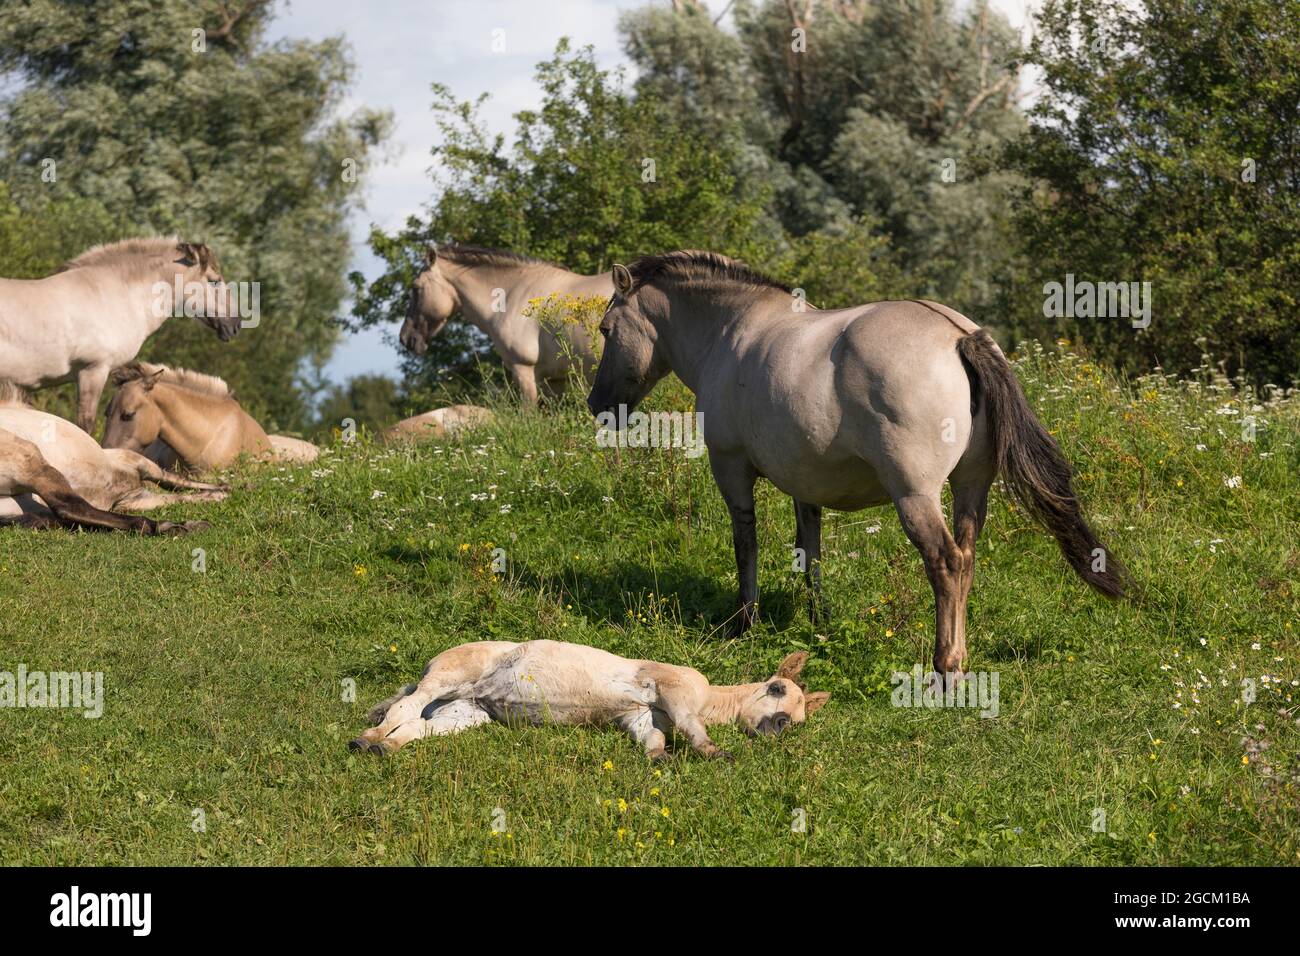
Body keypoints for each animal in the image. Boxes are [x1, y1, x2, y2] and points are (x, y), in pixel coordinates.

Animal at [0, 385, 225, 532]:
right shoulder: (136, 461)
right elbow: (174, 480)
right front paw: (223, 490)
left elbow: (175, 491)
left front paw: (217, 494)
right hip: (33, 464)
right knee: (70, 507)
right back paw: (171, 526)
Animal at [586, 251, 1126, 679]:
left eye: (606, 329)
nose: (597, 405)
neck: (732, 331)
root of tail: (960, 338)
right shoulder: (804, 484)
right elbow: (811, 551)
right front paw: (818, 621)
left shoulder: (731, 469)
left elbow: (746, 545)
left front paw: (745, 622)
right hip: (972, 487)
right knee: (967, 558)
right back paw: (961, 653)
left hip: (915, 495)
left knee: (946, 563)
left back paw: (946, 665)